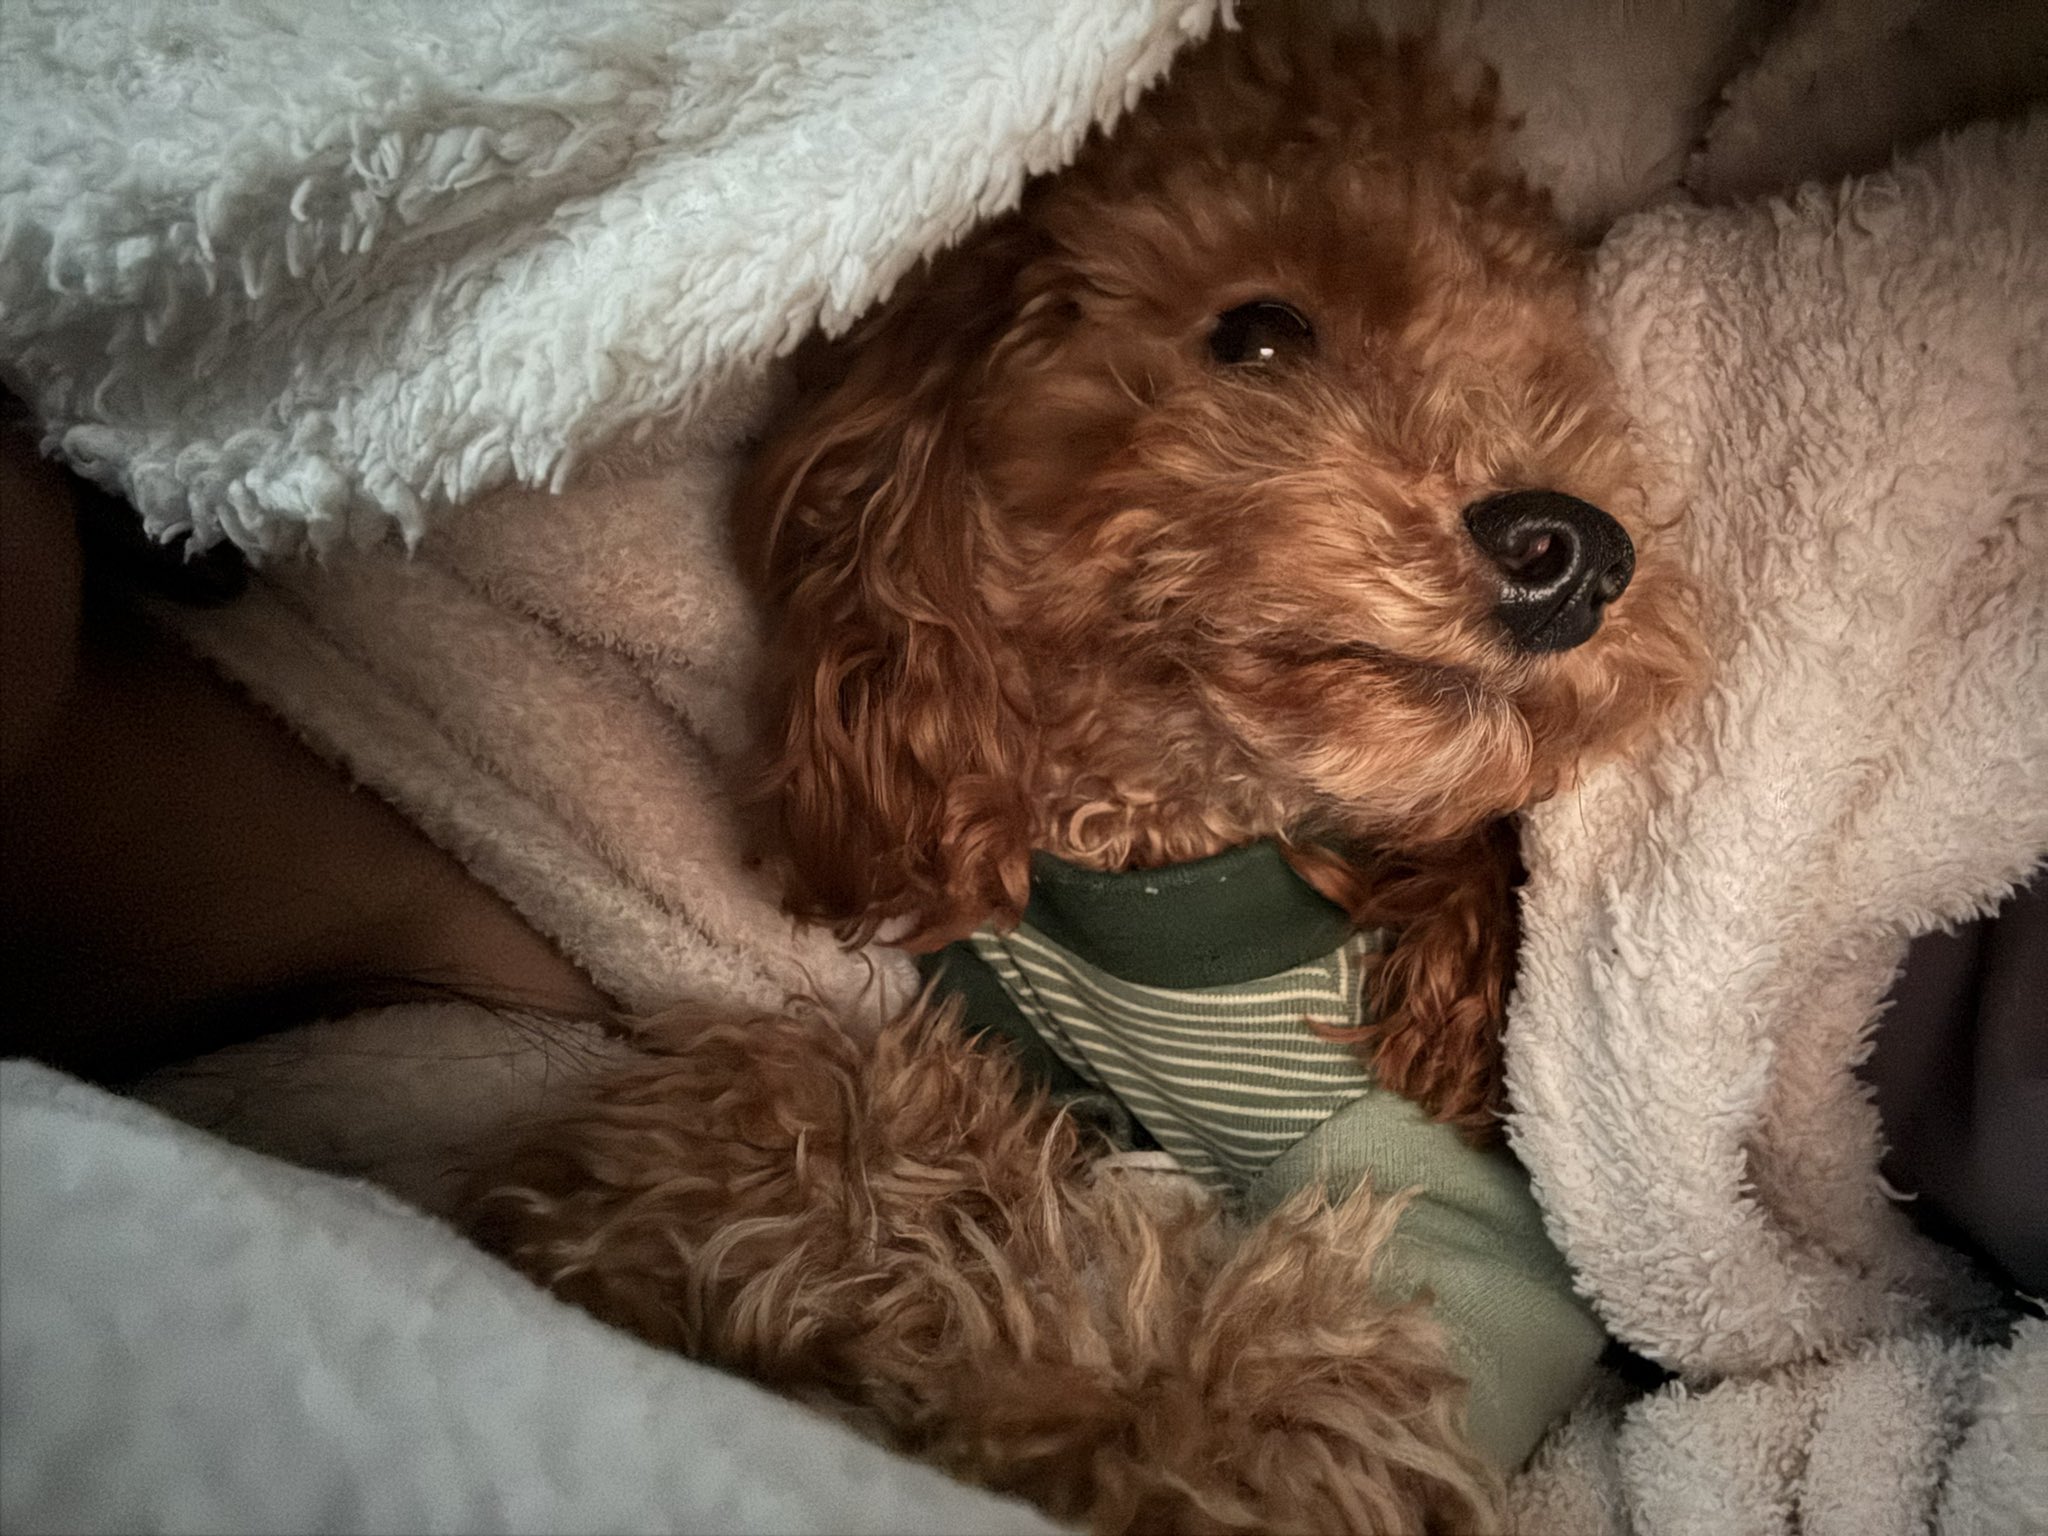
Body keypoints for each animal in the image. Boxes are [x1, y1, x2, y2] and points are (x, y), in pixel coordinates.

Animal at [471, 18, 1703, 1532]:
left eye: (1546, 379)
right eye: (1259, 334)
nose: (1575, 548)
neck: (1171, 867)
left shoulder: (1459, 1244)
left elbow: (1215, 1402)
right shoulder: (1014, 1038)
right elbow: (846, 1129)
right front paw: (641, 1214)